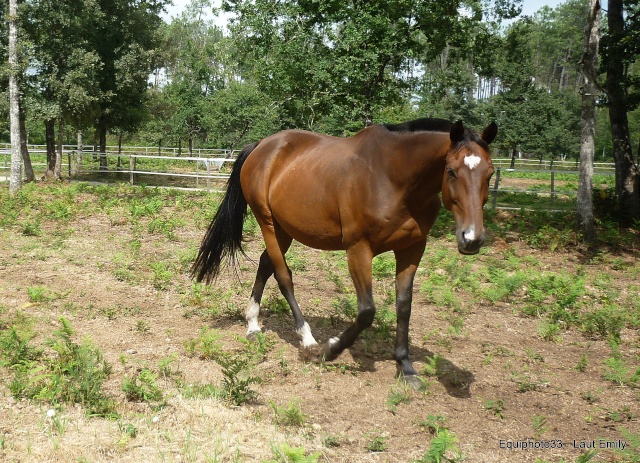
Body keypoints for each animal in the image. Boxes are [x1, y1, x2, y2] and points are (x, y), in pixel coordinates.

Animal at [192, 118, 498, 386]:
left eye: (490, 173)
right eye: (451, 171)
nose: (472, 239)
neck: (394, 178)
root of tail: (261, 146)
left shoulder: (412, 249)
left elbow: (404, 305)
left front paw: (406, 367)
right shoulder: (358, 249)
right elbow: (366, 311)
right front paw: (329, 350)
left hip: (283, 229)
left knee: (265, 265)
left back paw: (253, 324)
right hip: (268, 223)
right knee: (283, 275)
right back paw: (307, 339)